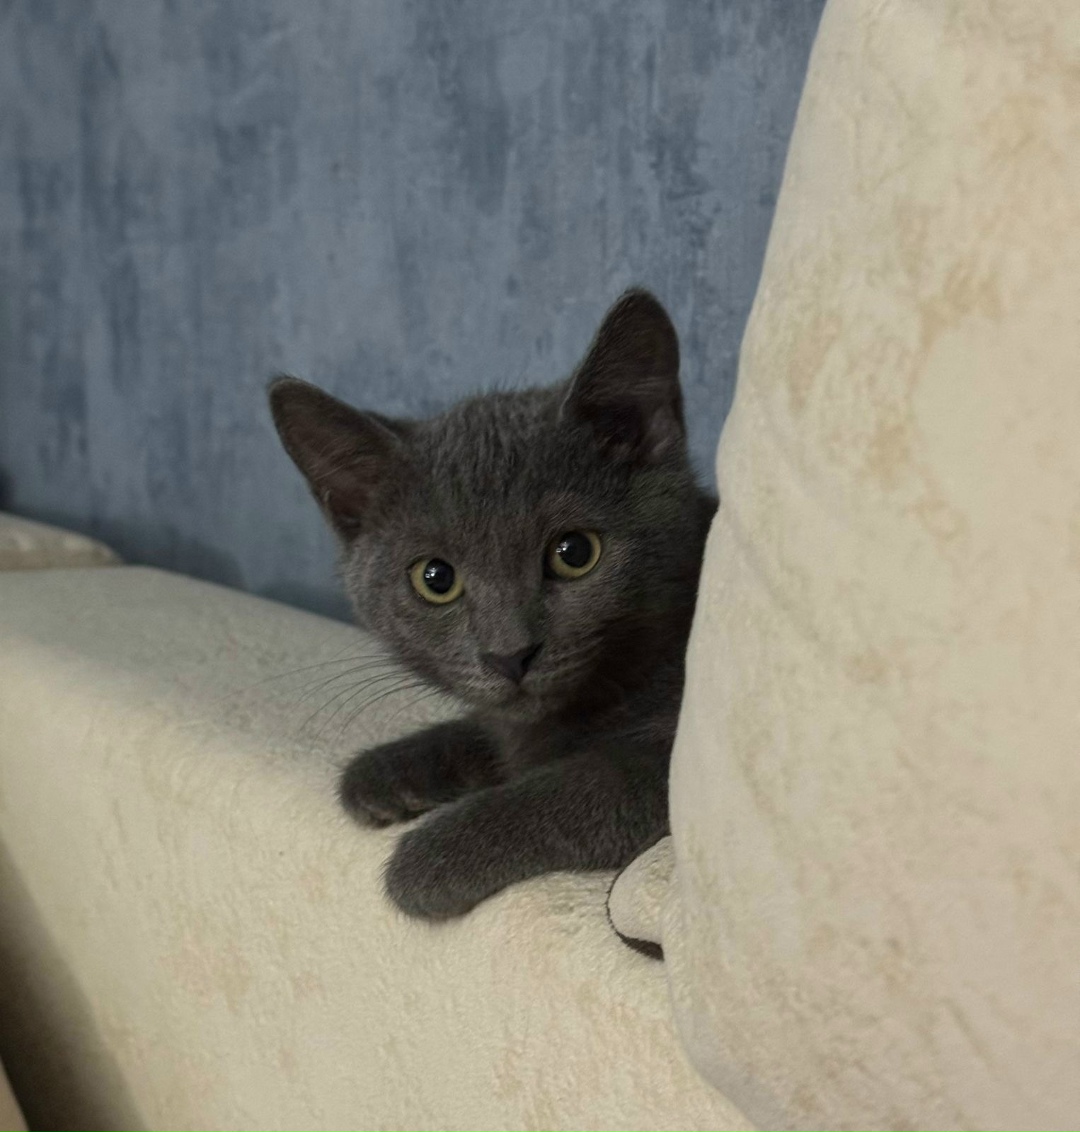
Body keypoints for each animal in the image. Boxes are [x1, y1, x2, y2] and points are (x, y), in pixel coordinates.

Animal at [269, 289, 716, 920]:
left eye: (575, 552)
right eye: (435, 579)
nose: (511, 654)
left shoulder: (674, 763)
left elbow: (581, 784)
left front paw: (432, 857)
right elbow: (492, 735)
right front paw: (386, 772)